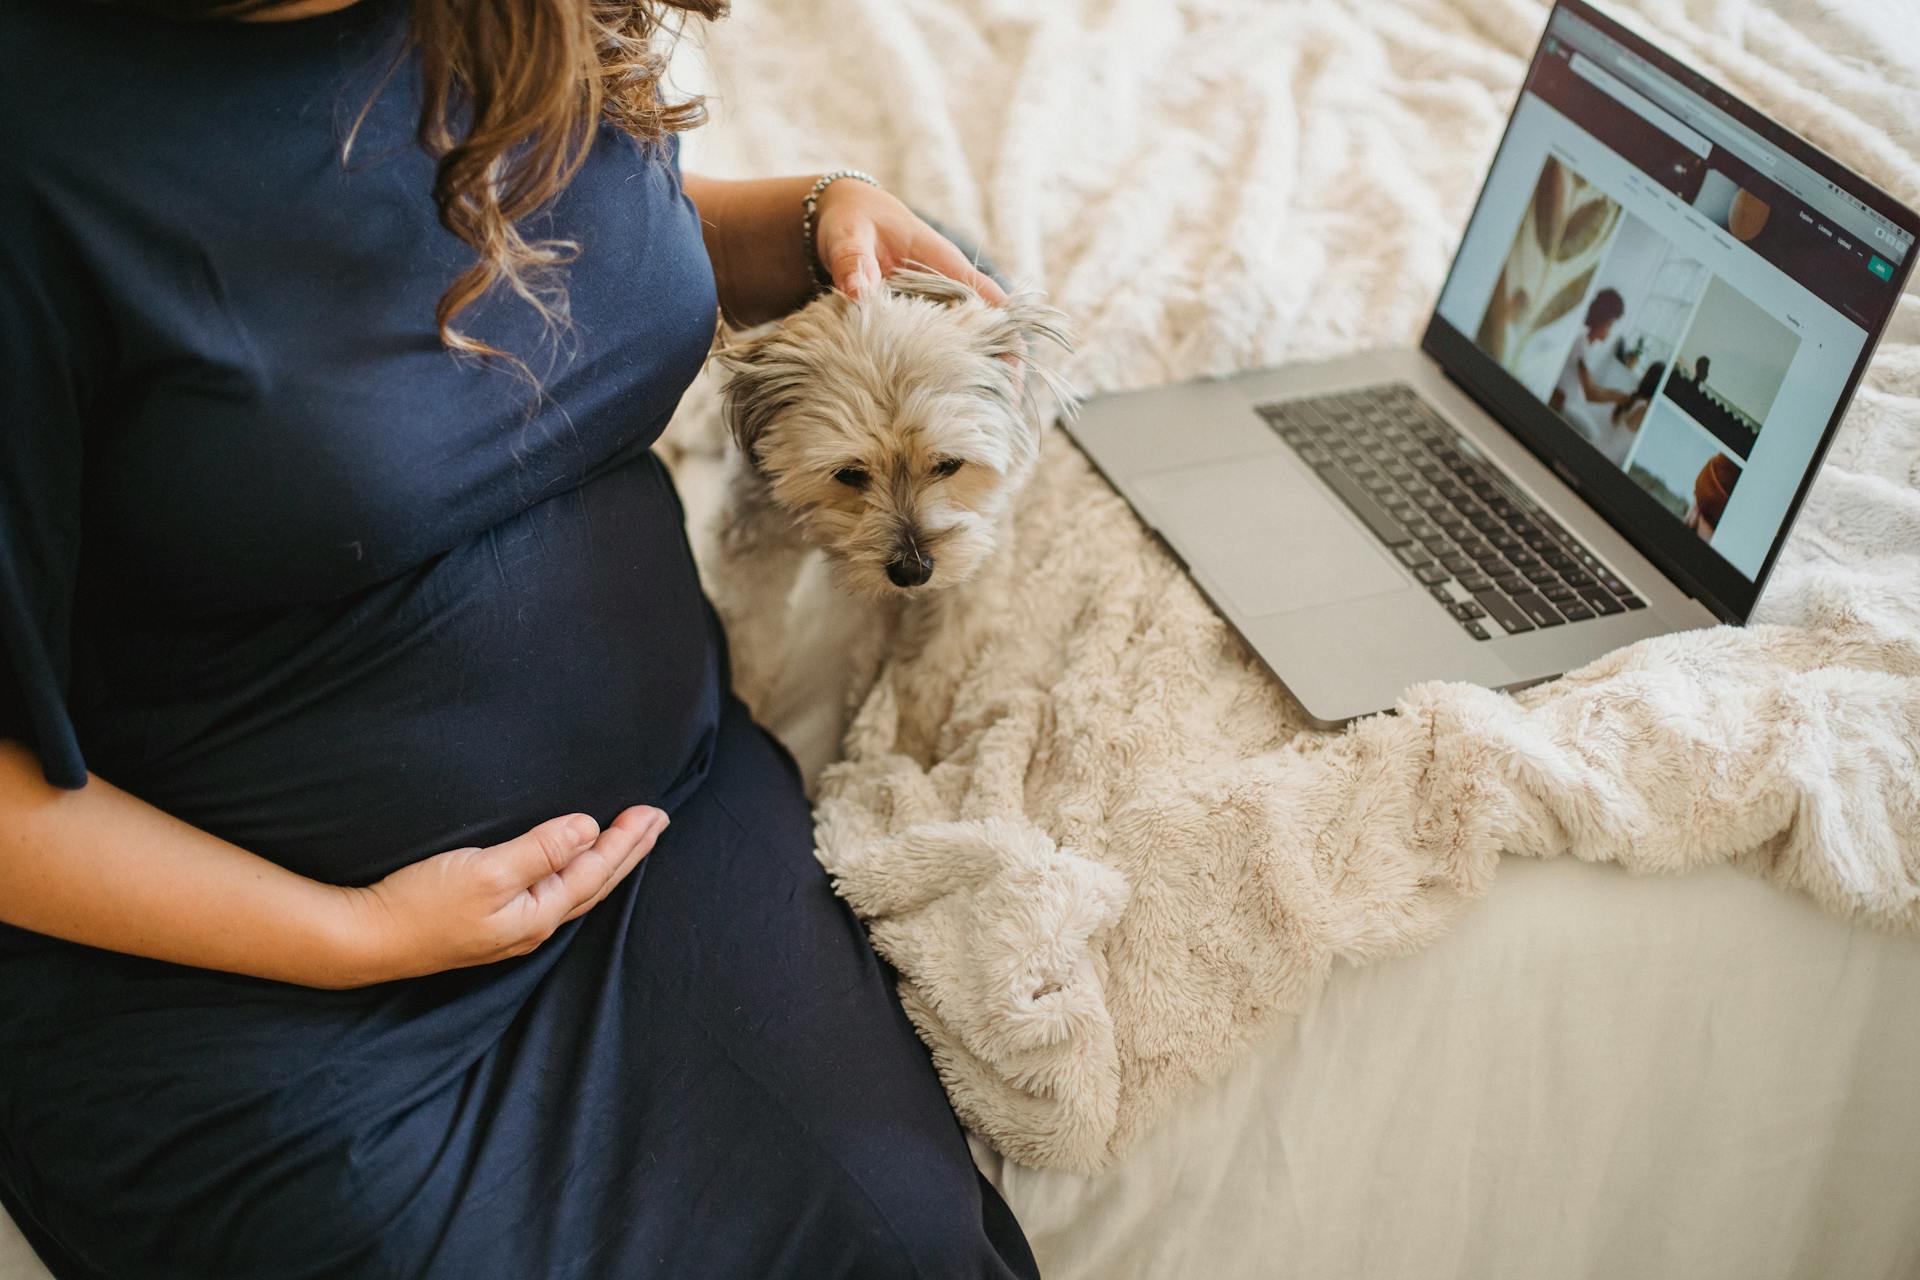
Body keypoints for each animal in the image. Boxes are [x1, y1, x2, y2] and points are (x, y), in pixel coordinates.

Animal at [706, 262, 1075, 740]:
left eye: (949, 464)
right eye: (848, 474)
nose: (912, 571)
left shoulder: (978, 546)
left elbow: (943, 649)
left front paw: (912, 737)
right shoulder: (756, 536)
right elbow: (751, 630)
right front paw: (744, 701)